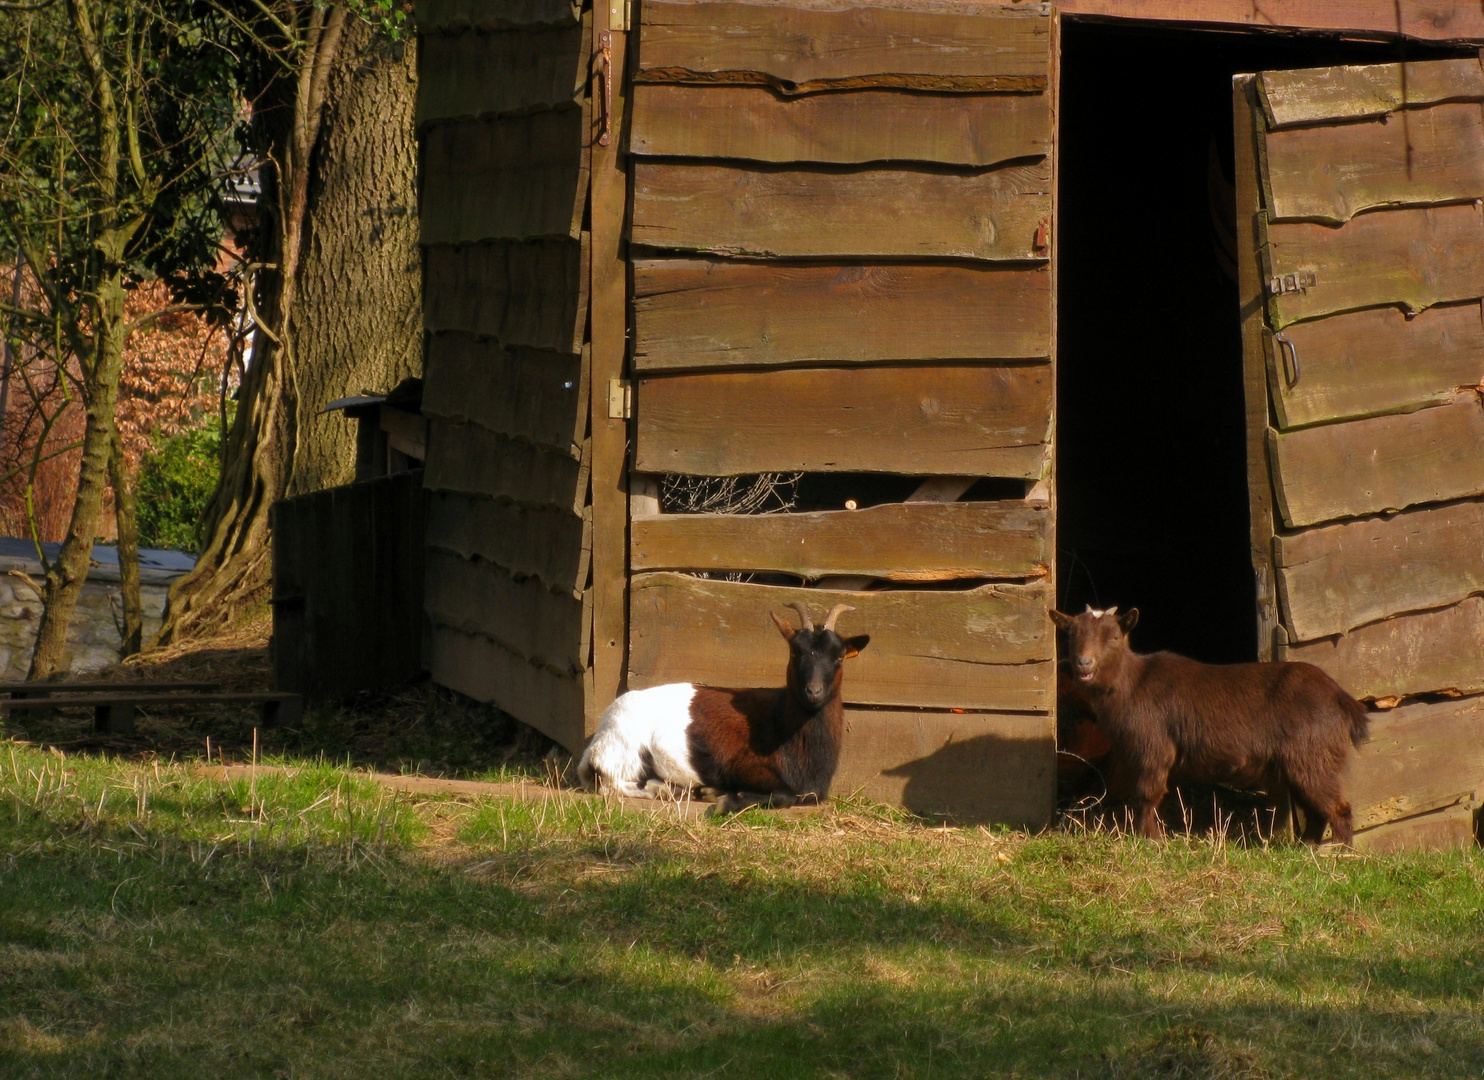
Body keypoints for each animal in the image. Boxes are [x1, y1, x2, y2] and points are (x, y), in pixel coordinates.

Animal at [572, 602, 866, 812]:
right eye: (795, 653)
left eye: (839, 657)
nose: (813, 692)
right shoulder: (742, 765)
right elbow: (785, 795)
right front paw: (721, 797)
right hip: (625, 753)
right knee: (609, 784)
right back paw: (668, 790)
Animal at [1050, 608, 1371, 842]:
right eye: (1071, 635)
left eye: (1115, 637)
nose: (1084, 664)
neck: (1132, 684)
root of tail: (1343, 699)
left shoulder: (1154, 749)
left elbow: (1147, 794)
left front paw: (1149, 839)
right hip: (1302, 764)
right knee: (1317, 811)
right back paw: (1307, 849)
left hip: (1313, 758)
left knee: (1339, 809)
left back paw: (1340, 857)